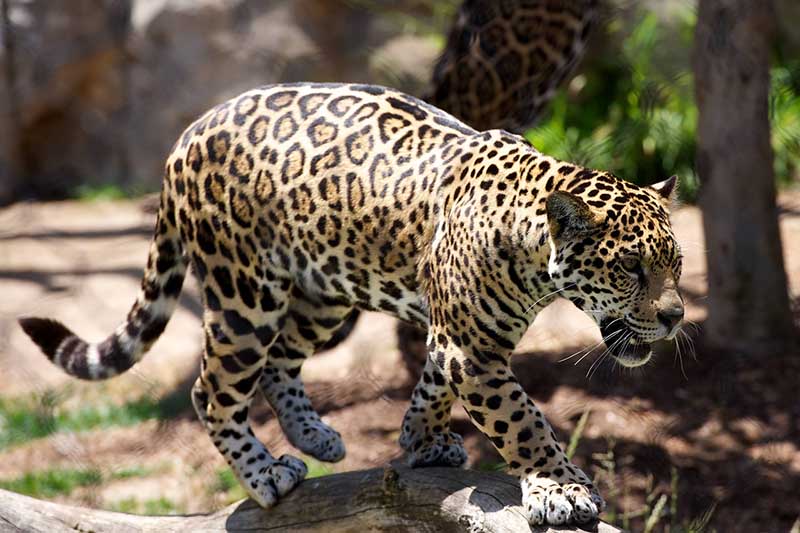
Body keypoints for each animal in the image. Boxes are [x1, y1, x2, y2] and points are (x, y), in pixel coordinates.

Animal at [20, 82, 684, 526]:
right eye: (631, 268)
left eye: (676, 265)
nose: (676, 316)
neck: (532, 243)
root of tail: (186, 136)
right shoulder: (471, 348)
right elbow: (522, 420)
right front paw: (559, 486)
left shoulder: (452, 337)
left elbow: (432, 384)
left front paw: (422, 439)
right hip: (245, 295)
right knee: (212, 388)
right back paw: (266, 472)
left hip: (323, 293)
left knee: (280, 362)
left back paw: (316, 439)